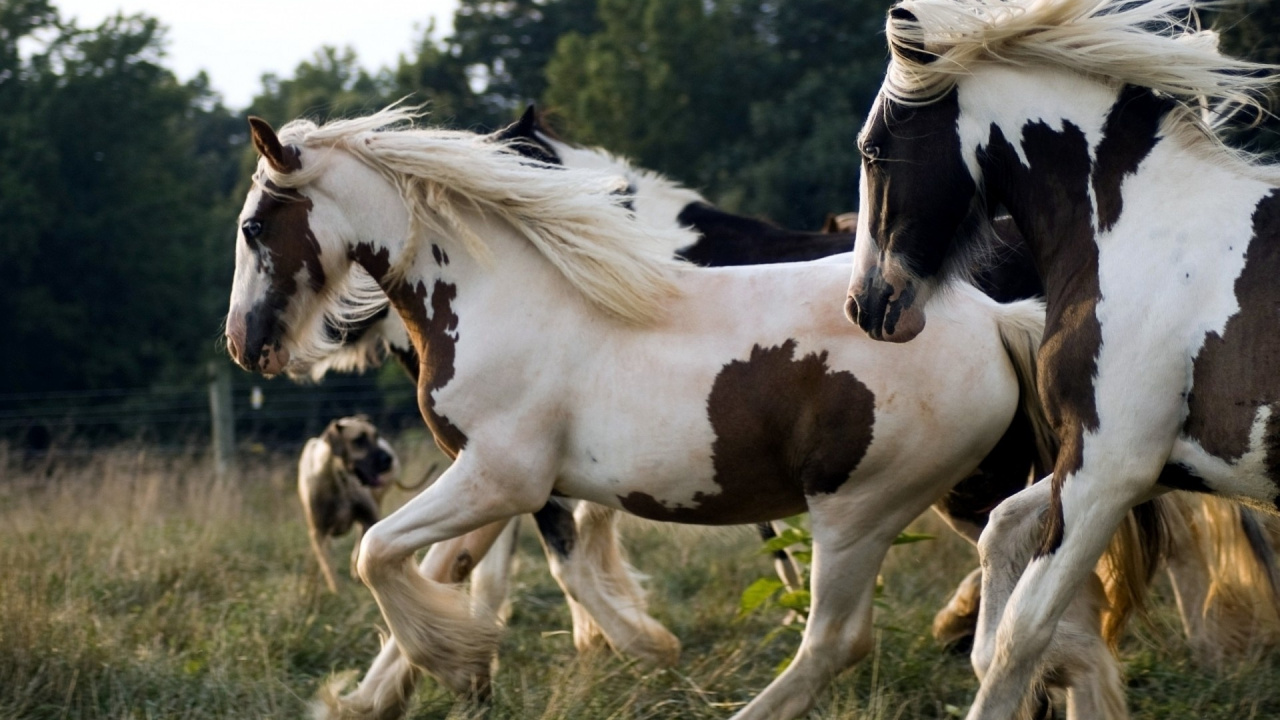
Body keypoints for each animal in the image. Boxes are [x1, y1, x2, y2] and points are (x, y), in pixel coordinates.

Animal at [224, 106, 1055, 720]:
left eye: (253, 227)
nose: (245, 343)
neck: (508, 296)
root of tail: (994, 319)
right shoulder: (497, 482)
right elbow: (446, 564)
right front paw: (386, 693)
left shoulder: (504, 479)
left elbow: (382, 554)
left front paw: (474, 665)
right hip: (945, 497)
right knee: (1027, 581)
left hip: (862, 511)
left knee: (839, 641)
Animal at [843, 0, 1280, 716]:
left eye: (872, 149)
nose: (866, 305)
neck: (1138, 234)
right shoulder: (1150, 463)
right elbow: (999, 532)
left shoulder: (1109, 468)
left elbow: (1023, 631)